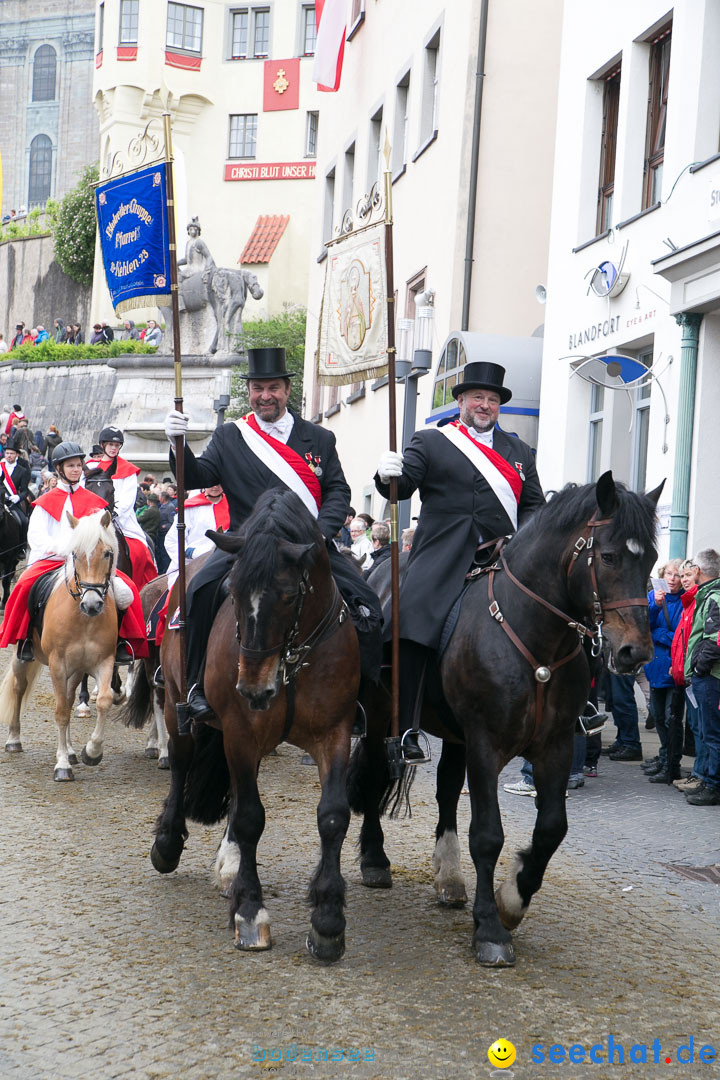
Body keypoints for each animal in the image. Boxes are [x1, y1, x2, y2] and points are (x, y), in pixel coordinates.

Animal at [0, 509, 121, 781]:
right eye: (75, 553)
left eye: (107, 553)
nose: (92, 604)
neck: (83, 619)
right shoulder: (57, 664)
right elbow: (62, 712)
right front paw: (62, 765)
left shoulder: (104, 661)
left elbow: (104, 700)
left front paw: (91, 752)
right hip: (23, 657)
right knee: (19, 687)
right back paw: (14, 739)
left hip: (75, 671)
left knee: (67, 696)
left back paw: (73, 751)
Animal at [148, 492, 360, 963]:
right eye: (232, 590)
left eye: (288, 595)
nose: (254, 689)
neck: (292, 659)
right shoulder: (241, 731)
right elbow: (249, 817)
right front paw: (249, 911)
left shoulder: (334, 733)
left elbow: (333, 816)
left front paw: (328, 921)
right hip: (177, 707)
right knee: (182, 765)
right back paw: (168, 844)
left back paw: (228, 863)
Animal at [351, 473, 660, 972]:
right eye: (610, 555)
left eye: (650, 558)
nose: (636, 653)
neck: (537, 636)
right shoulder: (485, 744)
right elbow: (488, 835)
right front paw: (490, 929)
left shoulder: (555, 746)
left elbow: (552, 827)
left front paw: (513, 899)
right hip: (382, 715)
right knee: (380, 772)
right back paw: (376, 859)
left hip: (453, 735)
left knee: (444, 792)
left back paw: (449, 875)